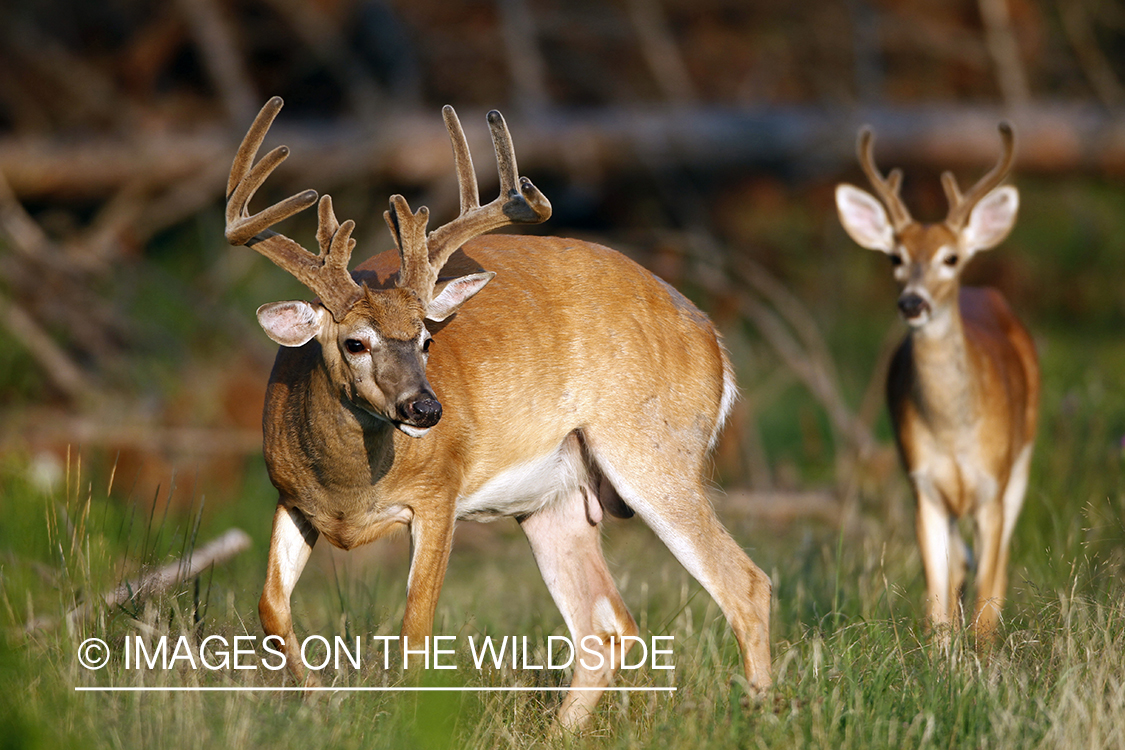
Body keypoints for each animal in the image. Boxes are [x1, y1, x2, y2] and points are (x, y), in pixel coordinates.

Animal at [226, 99, 774, 728]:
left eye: (426, 339)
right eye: (355, 343)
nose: (425, 408)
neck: (349, 493)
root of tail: (713, 340)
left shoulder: (439, 493)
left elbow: (416, 628)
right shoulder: (290, 497)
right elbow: (271, 608)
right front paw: (320, 704)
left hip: (654, 451)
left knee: (745, 584)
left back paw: (761, 715)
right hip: (555, 501)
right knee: (606, 625)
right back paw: (562, 733)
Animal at [837, 123, 1035, 647]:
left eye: (950, 257)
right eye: (894, 257)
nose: (913, 302)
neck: (954, 430)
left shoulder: (992, 485)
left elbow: (989, 589)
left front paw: (982, 655)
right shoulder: (922, 484)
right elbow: (937, 599)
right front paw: (942, 656)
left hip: (1022, 462)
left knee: (997, 568)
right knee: (960, 565)